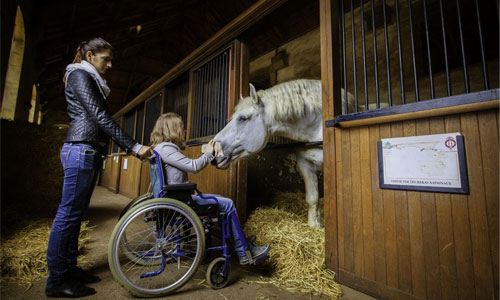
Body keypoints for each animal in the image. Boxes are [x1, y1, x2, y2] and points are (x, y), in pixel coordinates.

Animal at [214, 79, 352, 227]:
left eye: (243, 118)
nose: (214, 151)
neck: (316, 129)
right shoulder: (305, 165)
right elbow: (313, 198)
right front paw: (314, 226)